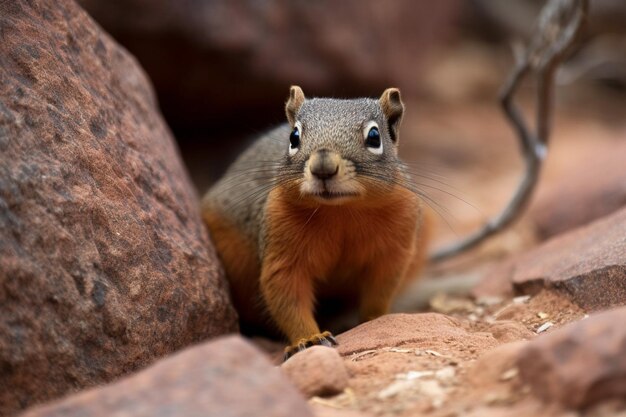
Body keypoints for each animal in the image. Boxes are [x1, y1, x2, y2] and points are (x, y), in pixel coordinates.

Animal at [200, 86, 428, 360]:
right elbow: (287, 296)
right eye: (294, 136)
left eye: (375, 137)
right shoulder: (282, 247)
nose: (323, 167)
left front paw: (374, 318)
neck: (341, 212)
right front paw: (308, 339)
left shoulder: (394, 246)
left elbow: (381, 287)